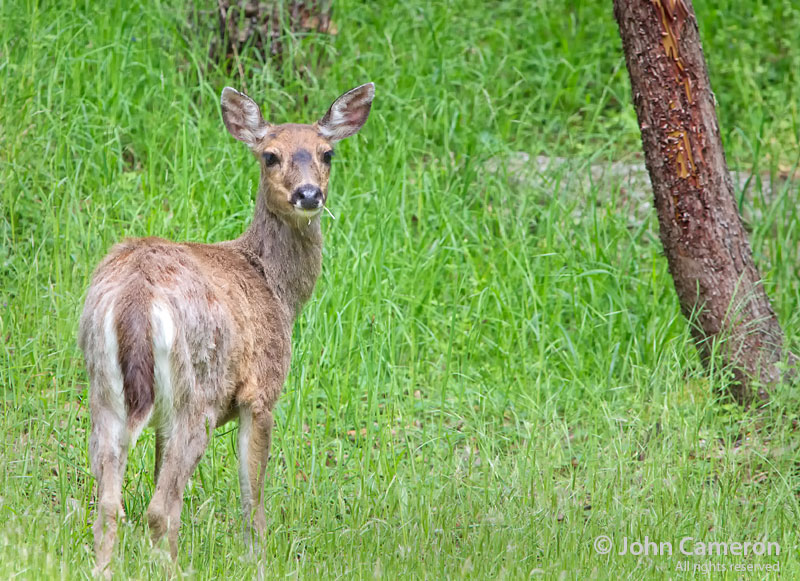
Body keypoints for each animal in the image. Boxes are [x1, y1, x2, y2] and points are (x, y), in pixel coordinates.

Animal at [78, 83, 374, 577]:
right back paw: (174, 569)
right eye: (270, 155)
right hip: (198, 392)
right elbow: (252, 496)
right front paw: (258, 560)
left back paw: (106, 568)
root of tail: (136, 298)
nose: (309, 193)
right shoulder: (261, 391)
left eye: (327, 153)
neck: (275, 287)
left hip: (104, 391)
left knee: (109, 505)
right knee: (160, 509)